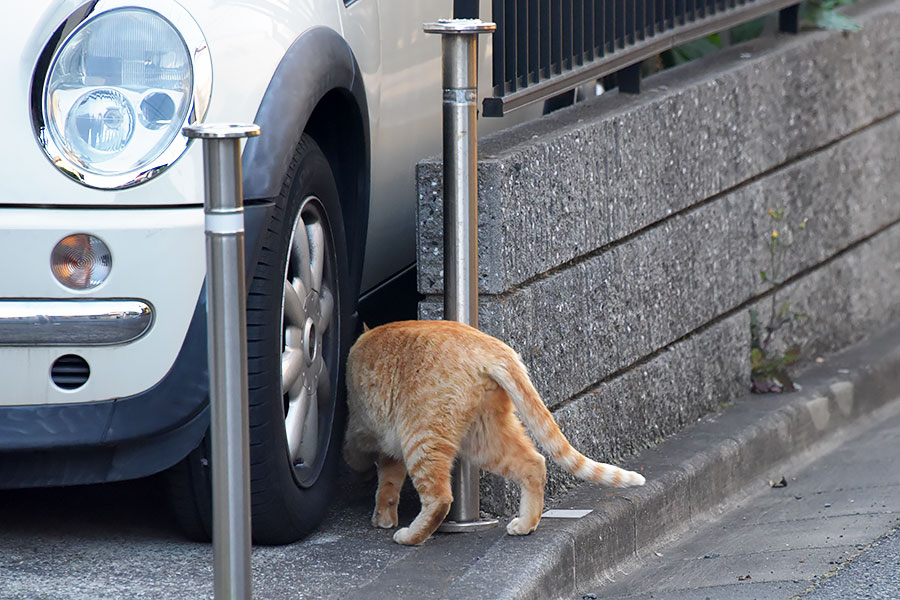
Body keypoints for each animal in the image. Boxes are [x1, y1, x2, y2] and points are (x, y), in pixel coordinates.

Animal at [342, 322, 644, 548]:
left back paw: (411, 536)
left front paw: (361, 481)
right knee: (534, 464)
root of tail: (488, 345)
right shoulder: (388, 449)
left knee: (440, 497)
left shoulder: (360, 427)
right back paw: (526, 524)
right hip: (483, 437)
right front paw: (384, 514)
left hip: (423, 436)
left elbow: (353, 455)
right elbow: (389, 483)